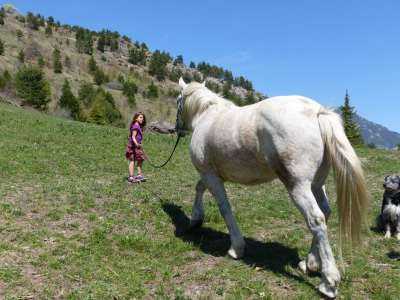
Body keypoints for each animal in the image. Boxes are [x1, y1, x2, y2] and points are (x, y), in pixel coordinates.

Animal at [177, 77, 368, 298]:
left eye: (177, 101)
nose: (178, 129)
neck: (207, 116)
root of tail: (317, 112)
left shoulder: (210, 175)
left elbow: (224, 209)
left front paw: (236, 248)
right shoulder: (212, 176)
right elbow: (199, 188)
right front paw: (196, 219)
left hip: (298, 185)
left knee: (316, 219)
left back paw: (328, 282)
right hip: (316, 184)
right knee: (325, 212)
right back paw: (310, 264)